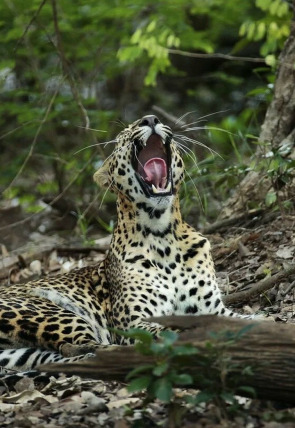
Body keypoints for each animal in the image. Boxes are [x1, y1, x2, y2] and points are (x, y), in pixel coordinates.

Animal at [0, 115, 250, 372]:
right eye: (124, 134)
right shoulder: (133, 323)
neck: (162, 235)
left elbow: (246, 319)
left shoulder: (213, 309)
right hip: (49, 311)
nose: (150, 118)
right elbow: (171, 329)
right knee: (83, 347)